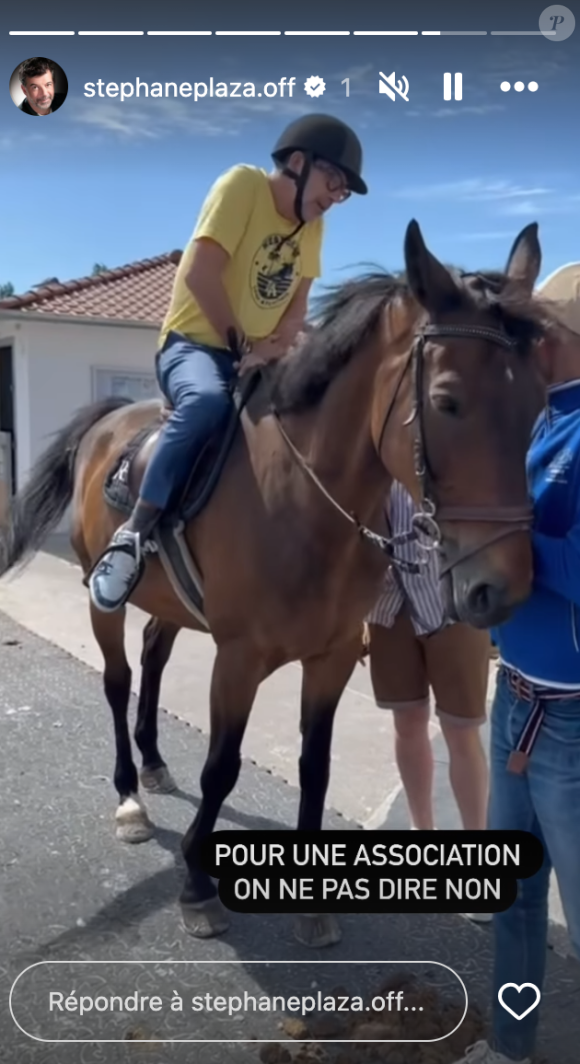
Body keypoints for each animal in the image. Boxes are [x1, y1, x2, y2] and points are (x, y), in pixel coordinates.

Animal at [0, 220, 542, 944]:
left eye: (538, 402)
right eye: (446, 402)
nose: (503, 588)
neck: (301, 501)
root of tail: (111, 420)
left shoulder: (332, 656)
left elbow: (316, 765)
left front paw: (310, 901)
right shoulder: (238, 658)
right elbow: (222, 767)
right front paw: (198, 887)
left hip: (173, 604)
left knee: (153, 655)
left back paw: (154, 762)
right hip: (103, 600)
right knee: (118, 681)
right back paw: (129, 797)